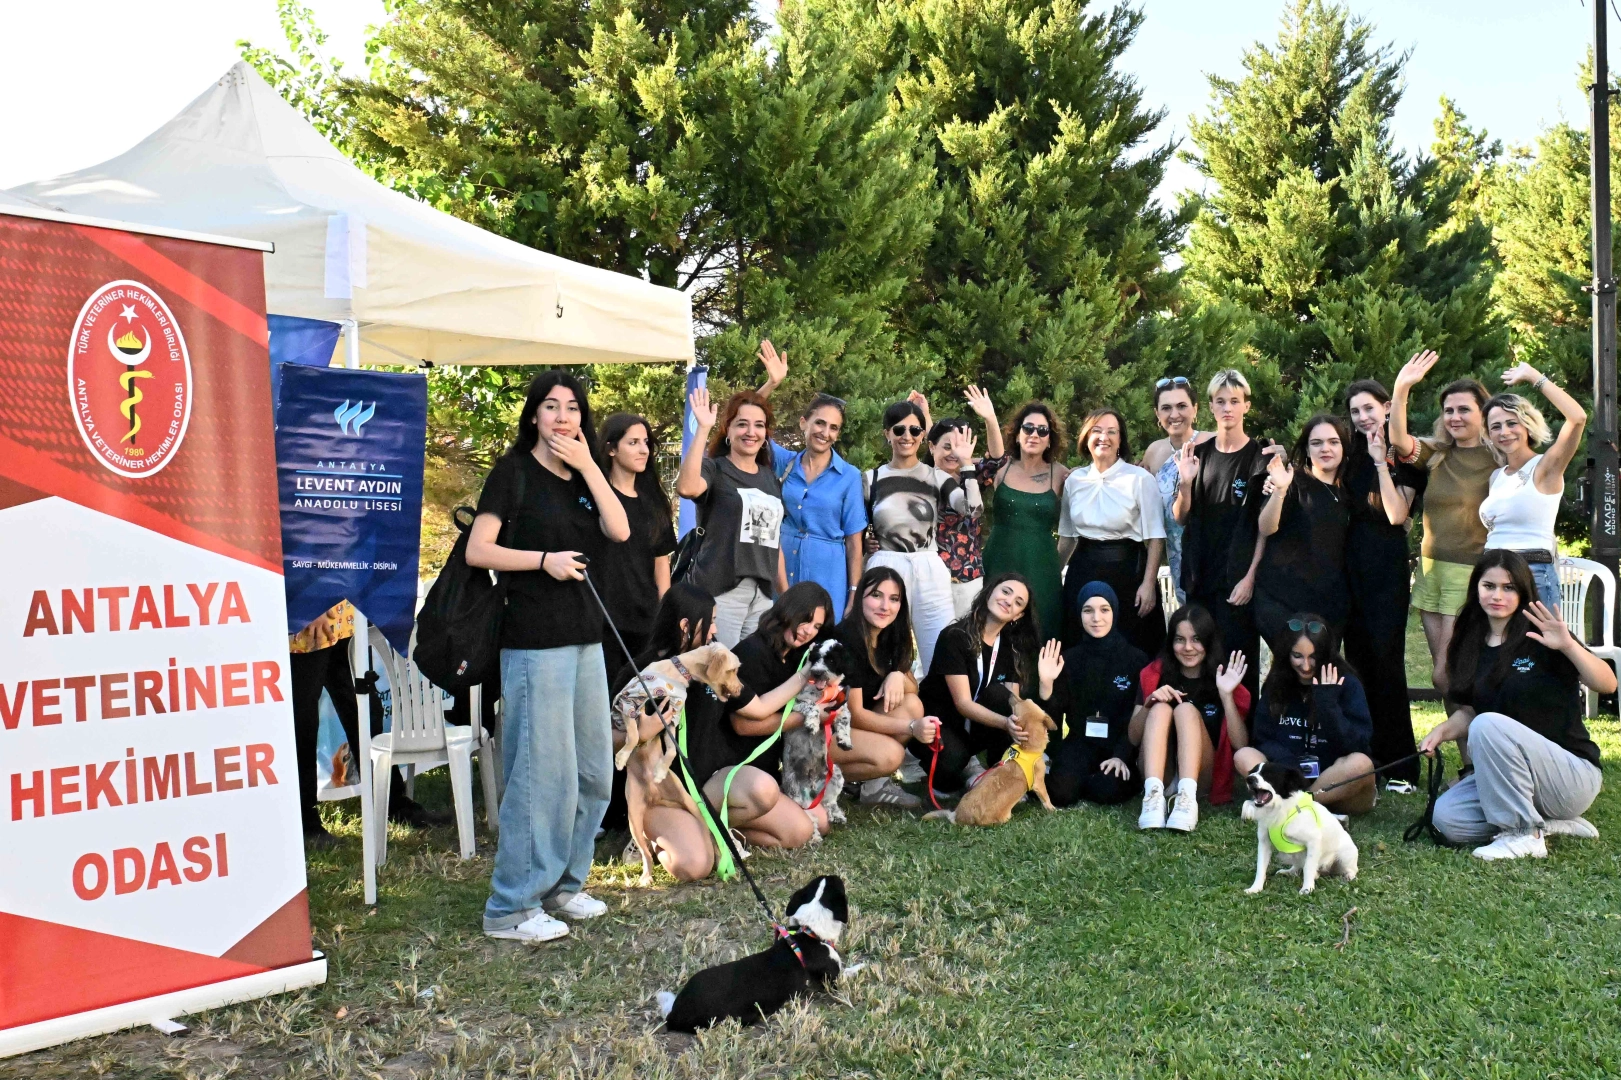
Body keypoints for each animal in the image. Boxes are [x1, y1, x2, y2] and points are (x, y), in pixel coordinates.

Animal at [611, 644, 745, 885]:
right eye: (733, 670)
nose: (741, 689)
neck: (674, 673)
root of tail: (655, 797)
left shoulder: (672, 716)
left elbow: (672, 750)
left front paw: (660, 770)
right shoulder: (629, 703)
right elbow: (634, 734)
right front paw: (622, 757)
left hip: (694, 807)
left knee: (713, 836)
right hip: (634, 820)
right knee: (646, 853)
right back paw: (646, 877)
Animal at [780, 639, 854, 823]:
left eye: (832, 660)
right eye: (814, 658)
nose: (817, 673)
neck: (823, 692)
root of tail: (812, 785)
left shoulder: (840, 706)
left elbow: (845, 720)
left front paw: (845, 740)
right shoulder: (796, 704)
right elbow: (811, 706)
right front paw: (812, 724)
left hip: (835, 775)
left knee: (829, 802)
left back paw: (836, 814)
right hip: (793, 788)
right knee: (805, 811)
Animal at [924, 694, 1056, 825]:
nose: (1011, 694)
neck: (1026, 749)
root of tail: (956, 816)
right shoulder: (1039, 783)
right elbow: (1046, 798)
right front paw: (1053, 809)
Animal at [1241, 762, 1359, 895]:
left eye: (1269, 774)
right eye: (1253, 771)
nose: (1249, 779)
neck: (1279, 810)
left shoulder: (1313, 841)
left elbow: (1308, 866)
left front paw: (1307, 888)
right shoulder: (1264, 843)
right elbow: (1261, 867)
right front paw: (1255, 888)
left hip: (1345, 856)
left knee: (1353, 869)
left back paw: (1348, 876)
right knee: (1298, 867)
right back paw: (1289, 872)